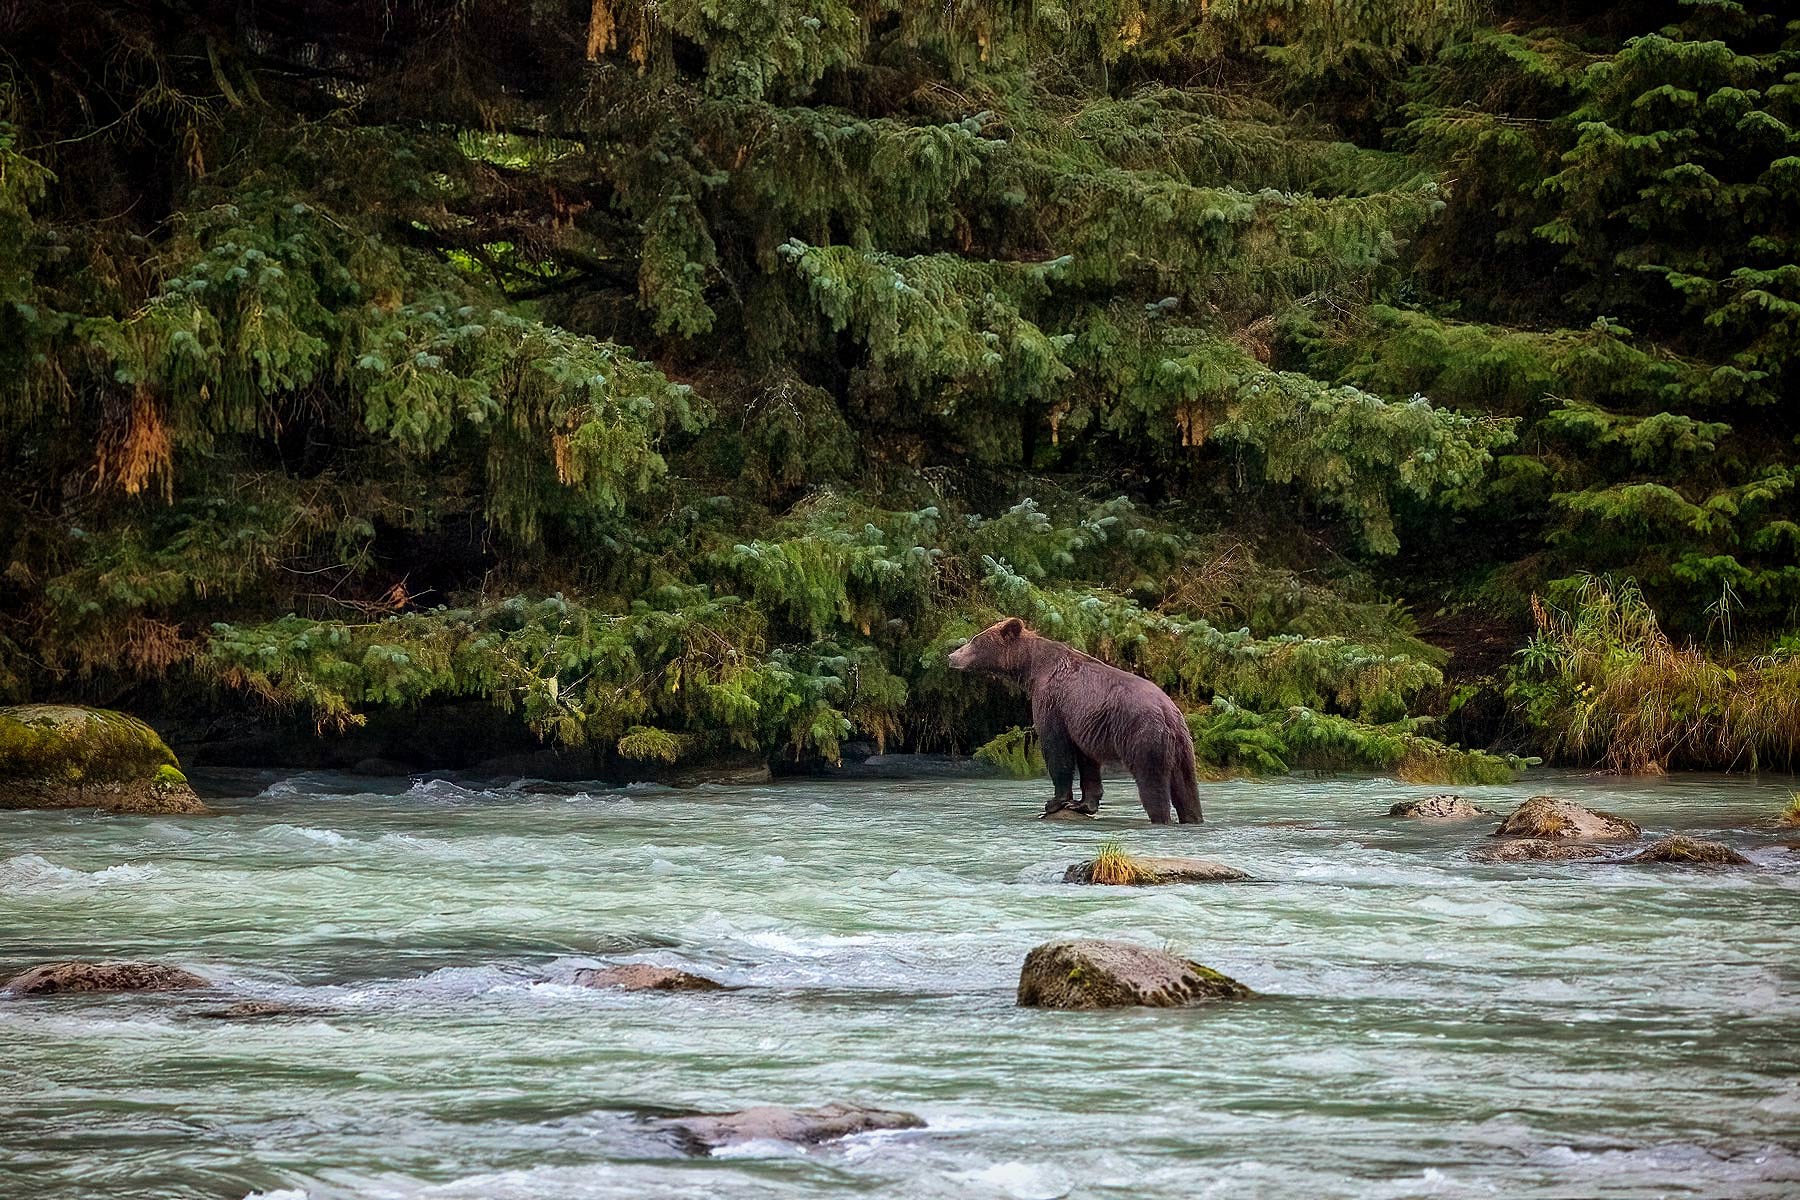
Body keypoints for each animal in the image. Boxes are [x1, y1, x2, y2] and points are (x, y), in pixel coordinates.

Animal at [950, 618, 1202, 827]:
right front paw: (1083, 804)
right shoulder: (1084, 722)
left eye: (974, 640)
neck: (1033, 668)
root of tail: (1168, 712)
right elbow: (1087, 762)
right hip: (1183, 747)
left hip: (1143, 734)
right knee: (1187, 788)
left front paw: (1054, 802)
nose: (951, 656)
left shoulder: (1053, 702)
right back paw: (1193, 817)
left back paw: (1160, 818)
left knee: (1152, 783)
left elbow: (1056, 748)